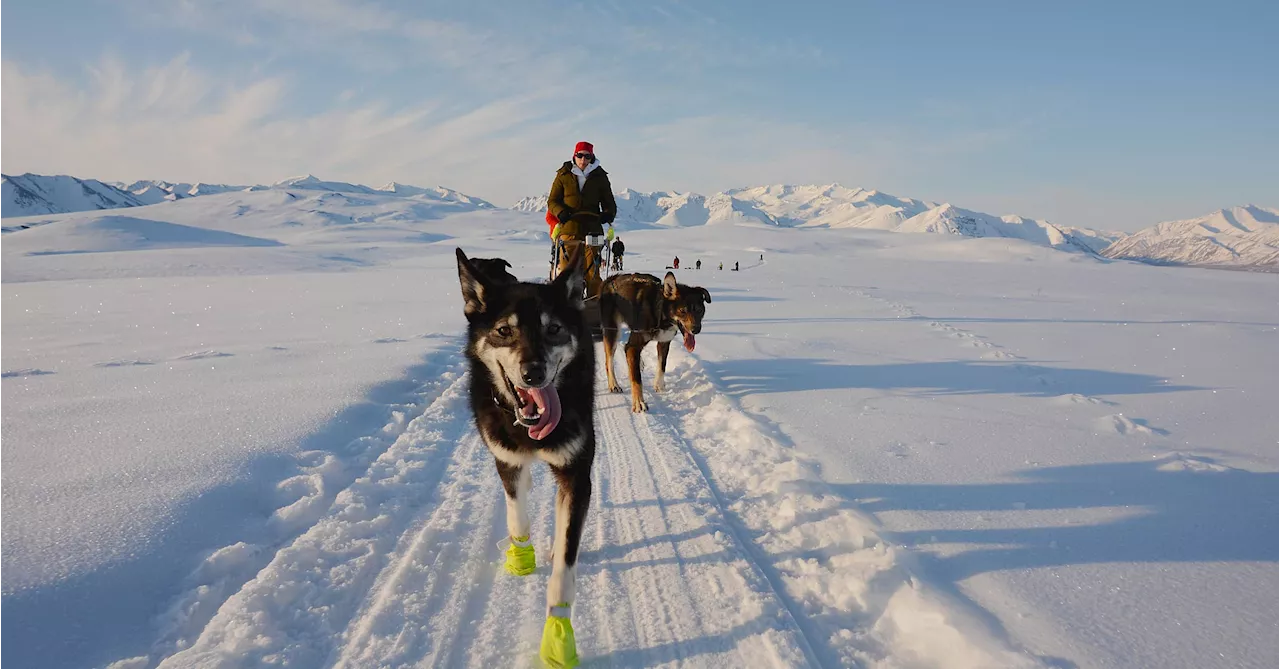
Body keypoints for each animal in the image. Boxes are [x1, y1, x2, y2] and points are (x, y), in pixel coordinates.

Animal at [599, 269, 711, 411]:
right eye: (682, 311)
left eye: (700, 310)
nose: (696, 329)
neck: (659, 313)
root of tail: (610, 280)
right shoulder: (633, 346)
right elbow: (636, 378)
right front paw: (639, 402)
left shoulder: (664, 342)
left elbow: (662, 365)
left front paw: (659, 385)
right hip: (612, 331)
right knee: (609, 361)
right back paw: (614, 384)